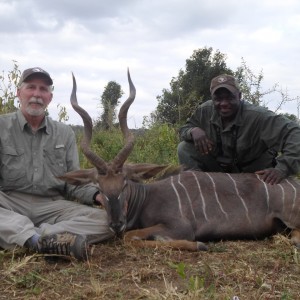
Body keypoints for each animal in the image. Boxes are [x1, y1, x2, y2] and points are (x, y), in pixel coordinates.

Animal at [59, 70, 300, 251]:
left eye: (125, 184)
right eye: (99, 187)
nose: (116, 224)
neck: (147, 198)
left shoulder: (180, 227)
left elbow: (133, 237)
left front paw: (200, 245)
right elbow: (132, 236)